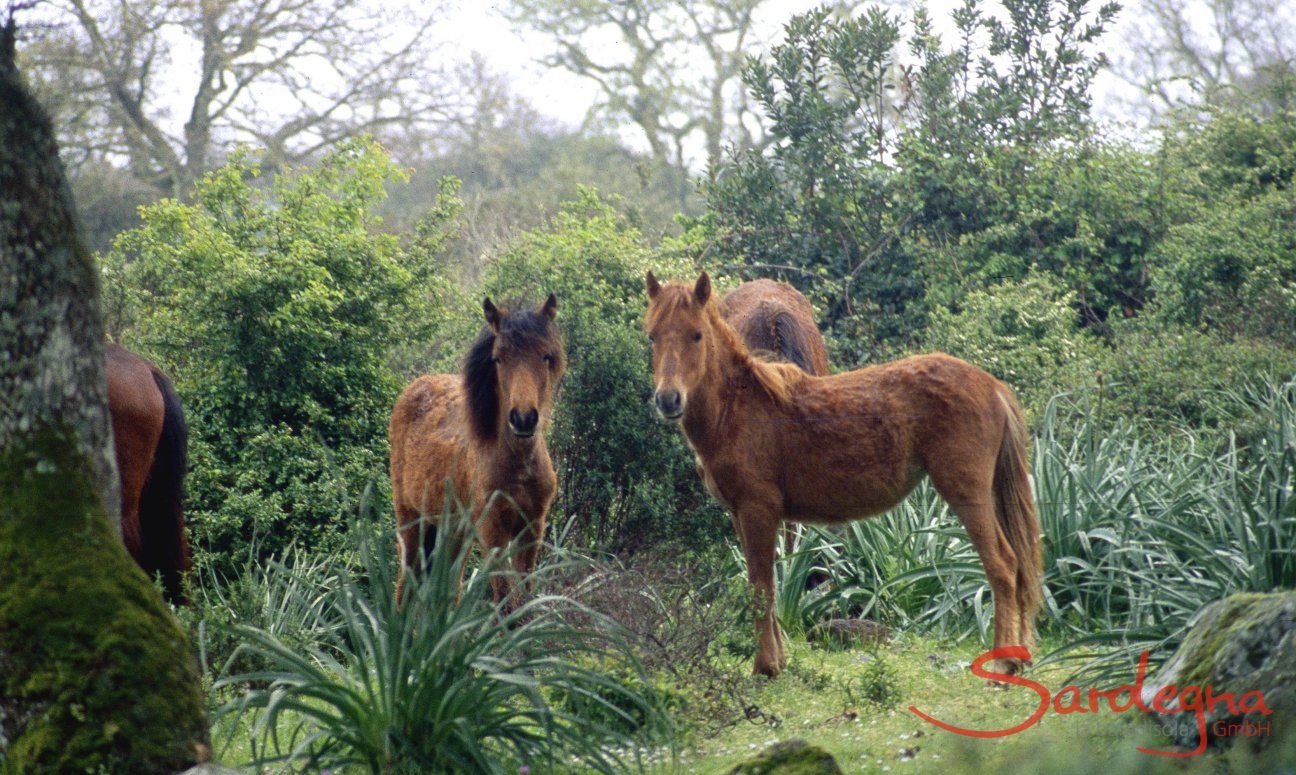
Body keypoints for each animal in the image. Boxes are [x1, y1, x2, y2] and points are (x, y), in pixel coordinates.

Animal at [386, 296, 565, 606]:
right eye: (498, 358)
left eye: (545, 356)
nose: (523, 418)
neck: (518, 465)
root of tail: (415, 386)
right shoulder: (493, 531)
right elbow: (504, 600)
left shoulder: (532, 528)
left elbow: (525, 599)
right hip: (411, 519)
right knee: (404, 586)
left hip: (454, 531)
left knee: (450, 588)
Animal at [648, 273, 1041, 679]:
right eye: (652, 336)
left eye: (696, 335)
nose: (668, 399)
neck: (741, 409)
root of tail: (991, 385)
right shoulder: (739, 514)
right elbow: (765, 585)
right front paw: (779, 660)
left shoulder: (758, 511)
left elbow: (762, 588)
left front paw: (766, 666)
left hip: (967, 494)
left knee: (1002, 565)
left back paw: (1005, 662)